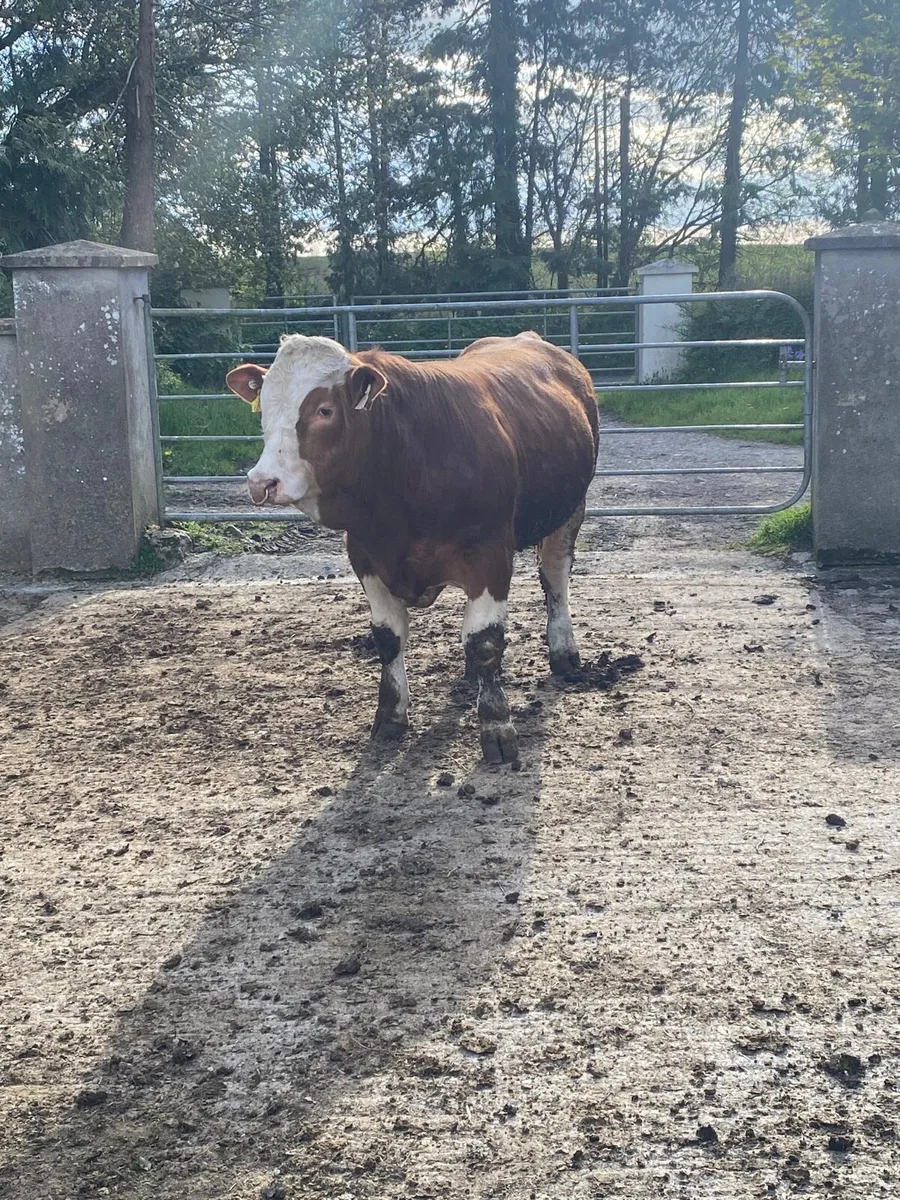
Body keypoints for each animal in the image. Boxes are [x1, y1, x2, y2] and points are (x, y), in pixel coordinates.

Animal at [226, 331, 599, 764]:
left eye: (324, 410)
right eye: (264, 408)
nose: (262, 482)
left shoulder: (490, 555)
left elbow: (486, 640)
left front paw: (496, 724)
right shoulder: (365, 554)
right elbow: (389, 638)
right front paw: (390, 716)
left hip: (570, 510)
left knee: (555, 579)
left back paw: (563, 651)